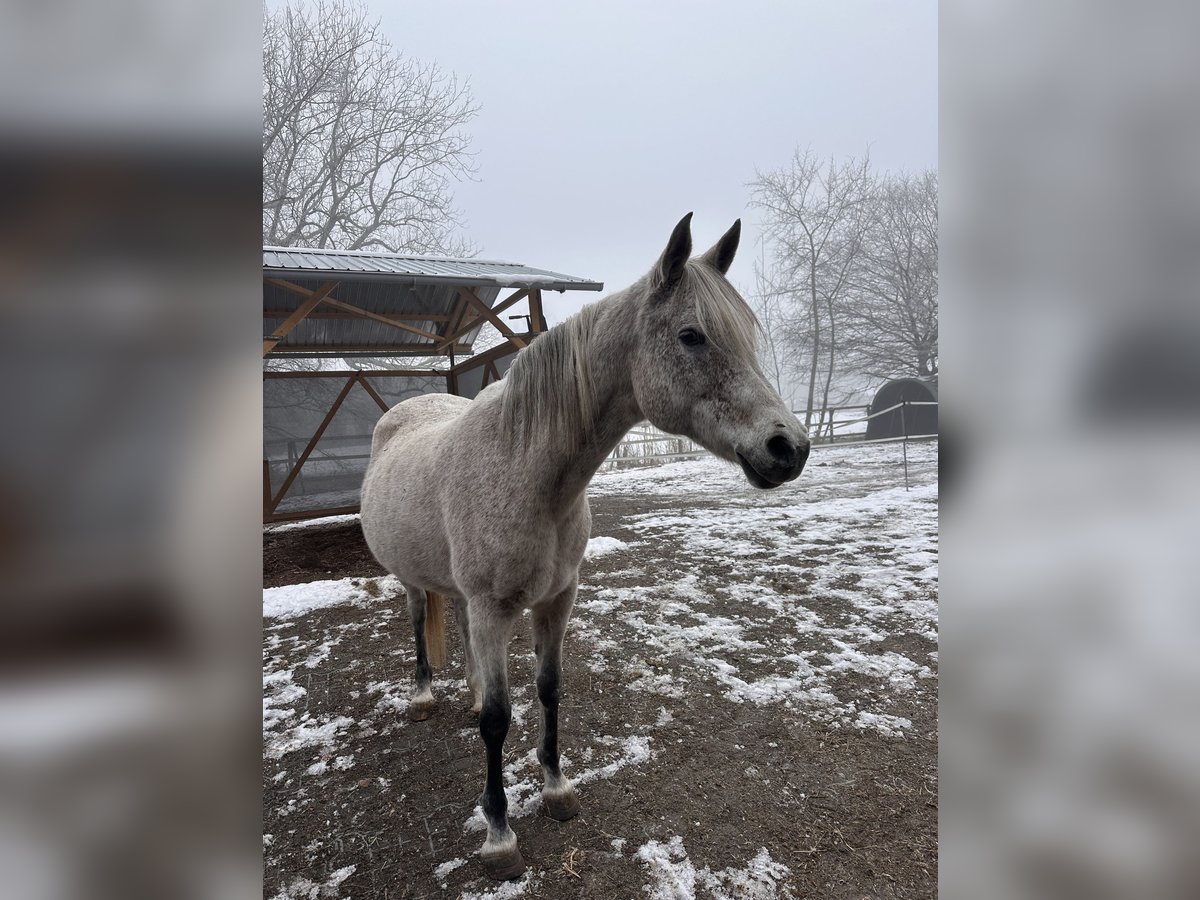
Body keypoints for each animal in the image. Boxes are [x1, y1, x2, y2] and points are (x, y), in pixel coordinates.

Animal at [355, 217, 806, 883]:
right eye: (692, 336)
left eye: (746, 337)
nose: (789, 447)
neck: (526, 470)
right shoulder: (493, 609)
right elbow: (498, 720)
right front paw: (499, 836)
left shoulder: (556, 600)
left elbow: (549, 689)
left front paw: (557, 789)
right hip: (413, 581)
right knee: (418, 621)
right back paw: (423, 696)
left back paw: (466, 691)